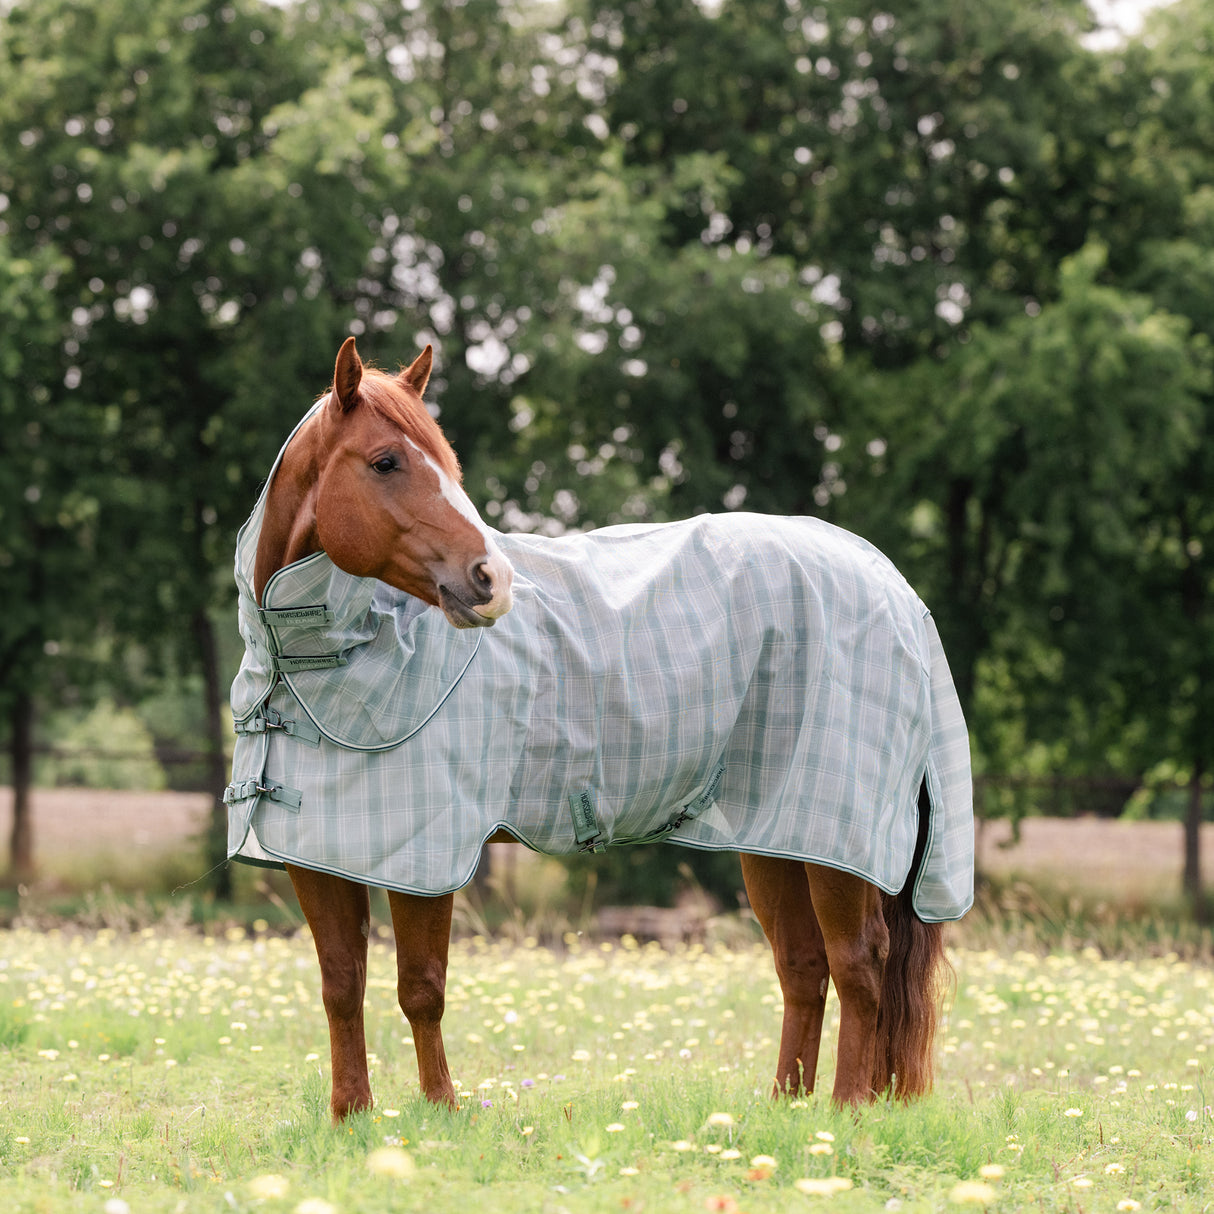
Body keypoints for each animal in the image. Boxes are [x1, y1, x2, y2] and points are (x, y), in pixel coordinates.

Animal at [226, 336, 973, 1121]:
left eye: (447, 465)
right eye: (385, 462)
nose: (491, 580)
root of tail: (893, 588)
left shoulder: (424, 859)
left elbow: (420, 987)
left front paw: (440, 1111)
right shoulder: (318, 857)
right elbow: (341, 985)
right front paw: (352, 1117)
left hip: (841, 842)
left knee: (861, 963)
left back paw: (848, 1111)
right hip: (779, 835)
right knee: (804, 965)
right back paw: (786, 1111)